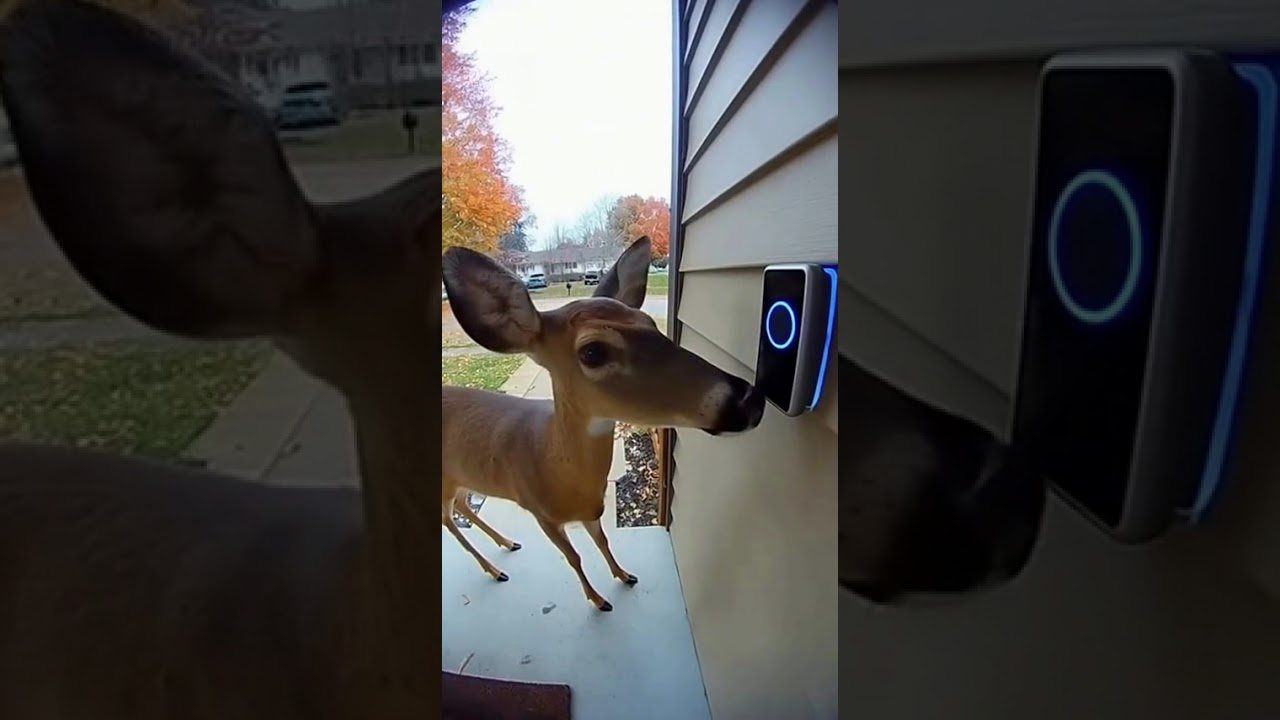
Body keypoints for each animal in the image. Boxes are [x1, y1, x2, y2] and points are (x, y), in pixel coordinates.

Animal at [441, 237, 767, 611]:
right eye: (593, 351)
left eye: (650, 322)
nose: (749, 400)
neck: (552, 464)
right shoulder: (540, 512)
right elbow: (574, 558)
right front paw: (598, 601)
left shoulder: (591, 510)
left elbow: (603, 542)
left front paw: (625, 576)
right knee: (449, 521)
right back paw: (496, 570)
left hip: (462, 478)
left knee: (463, 505)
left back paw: (508, 544)